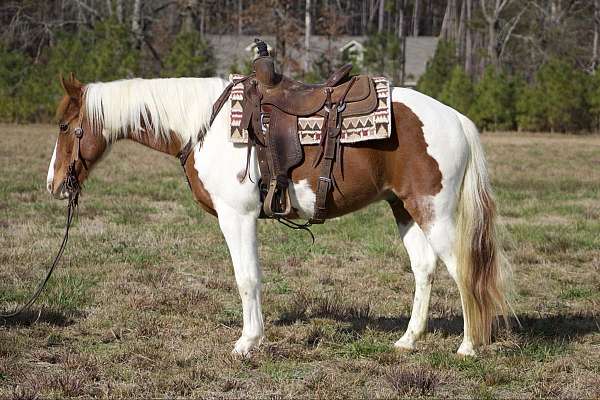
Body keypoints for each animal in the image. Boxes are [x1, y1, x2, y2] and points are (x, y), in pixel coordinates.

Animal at [47, 73, 508, 358]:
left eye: (66, 126)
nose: (53, 184)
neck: (205, 125)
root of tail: (456, 119)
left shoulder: (237, 216)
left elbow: (247, 278)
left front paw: (248, 341)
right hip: (404, 208)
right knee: (424, 269)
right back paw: (408, 340)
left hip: (435, 211)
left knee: (463, 269)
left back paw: (469, 346)